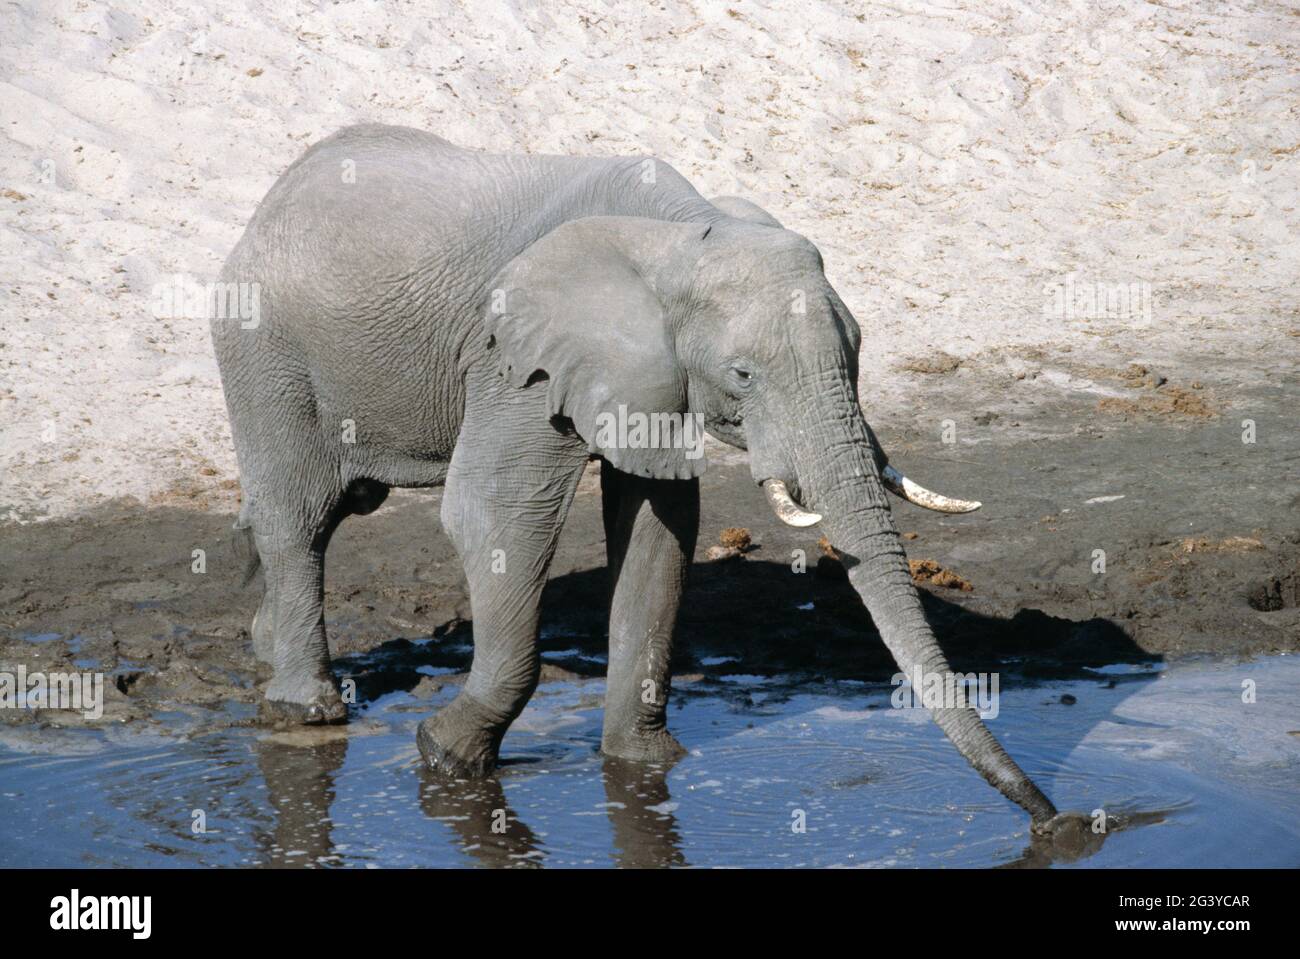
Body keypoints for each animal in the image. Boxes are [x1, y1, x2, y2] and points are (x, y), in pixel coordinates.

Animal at [213, 125, 1076, 831]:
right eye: (743, 374)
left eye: (859, 350)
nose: (1057, 823)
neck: (679, 231)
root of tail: (267, 202)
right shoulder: (516, 358)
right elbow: (496, 514)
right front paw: (445, 755)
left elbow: (661, 528)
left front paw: (647, 765)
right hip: (263, 346)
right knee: (300, 516)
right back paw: (306, 708)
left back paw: (263, 649)